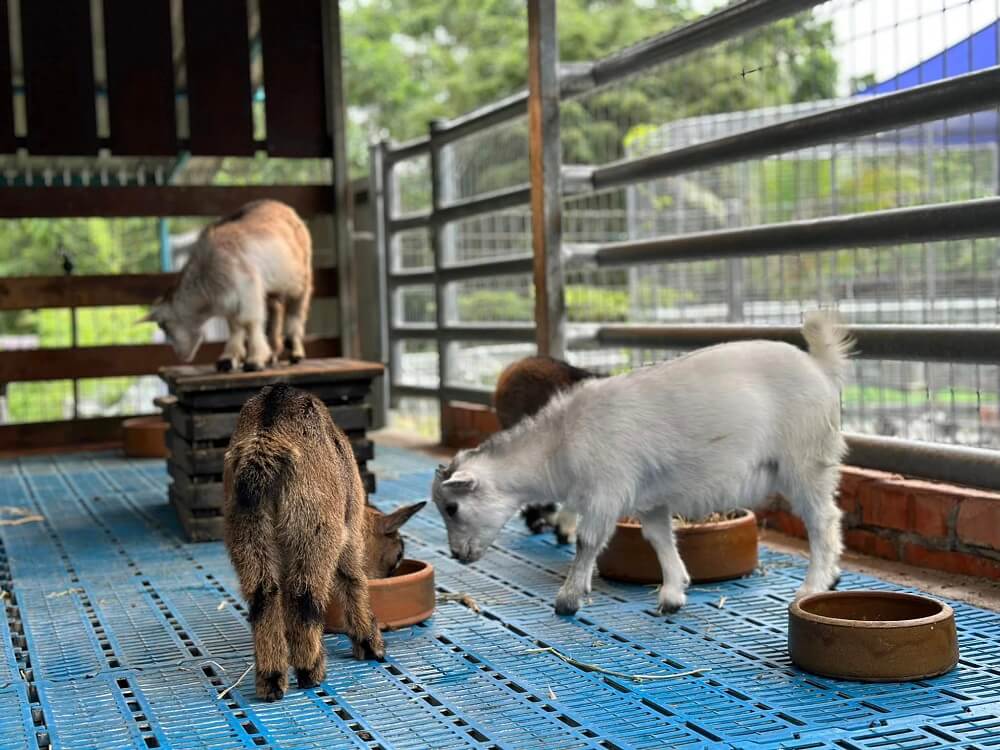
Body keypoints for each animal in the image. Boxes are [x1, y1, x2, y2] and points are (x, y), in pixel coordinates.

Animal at [142, 200, 312, 374]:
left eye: (163, 325)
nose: (181, 356)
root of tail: (283, 206)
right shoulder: (230, 298)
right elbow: (234, 326)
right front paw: (228, 359)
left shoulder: (248, 287)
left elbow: (248, 322)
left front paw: (255, 360)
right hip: (273, 284)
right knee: (276, 308)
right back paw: (273, 354)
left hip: (301, 275)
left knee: (297, 308)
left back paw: (296, 352)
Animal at [225, 384, 424, 704]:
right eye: (397, 555)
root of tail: (266, 440)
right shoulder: (349, 530)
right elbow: (353, 580)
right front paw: (370, 643)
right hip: (316, 527)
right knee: (305, 595)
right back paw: (310, 670)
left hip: (246, 528)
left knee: (264, 595)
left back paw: (271, 679)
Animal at [432, 312, 852, 616]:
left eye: (452, 508)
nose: (458, 556)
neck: (559, 444)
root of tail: (821, 365)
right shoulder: (649, 499)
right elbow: (659, 539)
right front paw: (673, 593)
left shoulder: (606, 490)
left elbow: (588, 540)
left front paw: (568, 599)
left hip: (805, 460)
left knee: (823, 521)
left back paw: (814, 584)